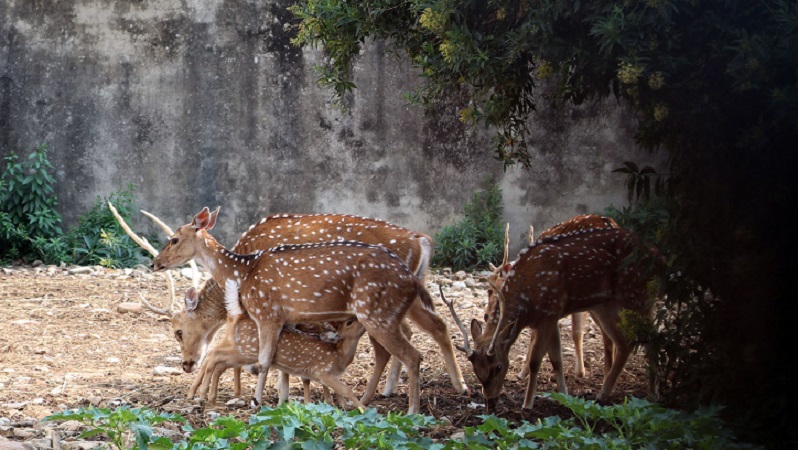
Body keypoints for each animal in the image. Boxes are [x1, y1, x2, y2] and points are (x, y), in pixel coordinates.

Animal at [152, 206, 466, 414]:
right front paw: (283, 399)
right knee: (423, 331)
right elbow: (280, 361)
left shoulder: (268, 313)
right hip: (394, 308)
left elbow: (263, 360)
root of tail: (422, 240)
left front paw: (255, 399)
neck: (242, 270)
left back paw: (413, 406)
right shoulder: (289, 318)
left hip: (376, 313)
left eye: (178, 331)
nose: (155, 263)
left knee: (411, 350)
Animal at [450, 227, 656, 414]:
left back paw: (650, 394)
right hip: (606, 305)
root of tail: (654, 253)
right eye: (476, 370)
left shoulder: (549, 313)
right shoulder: (552, 317)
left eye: (498, 367)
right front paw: (564, 396)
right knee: (625, 342)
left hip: (637, 295)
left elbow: (536, 361)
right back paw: (606, 393)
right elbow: (556, 359)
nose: (490, 403)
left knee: (650, 338)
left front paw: (528, 403)